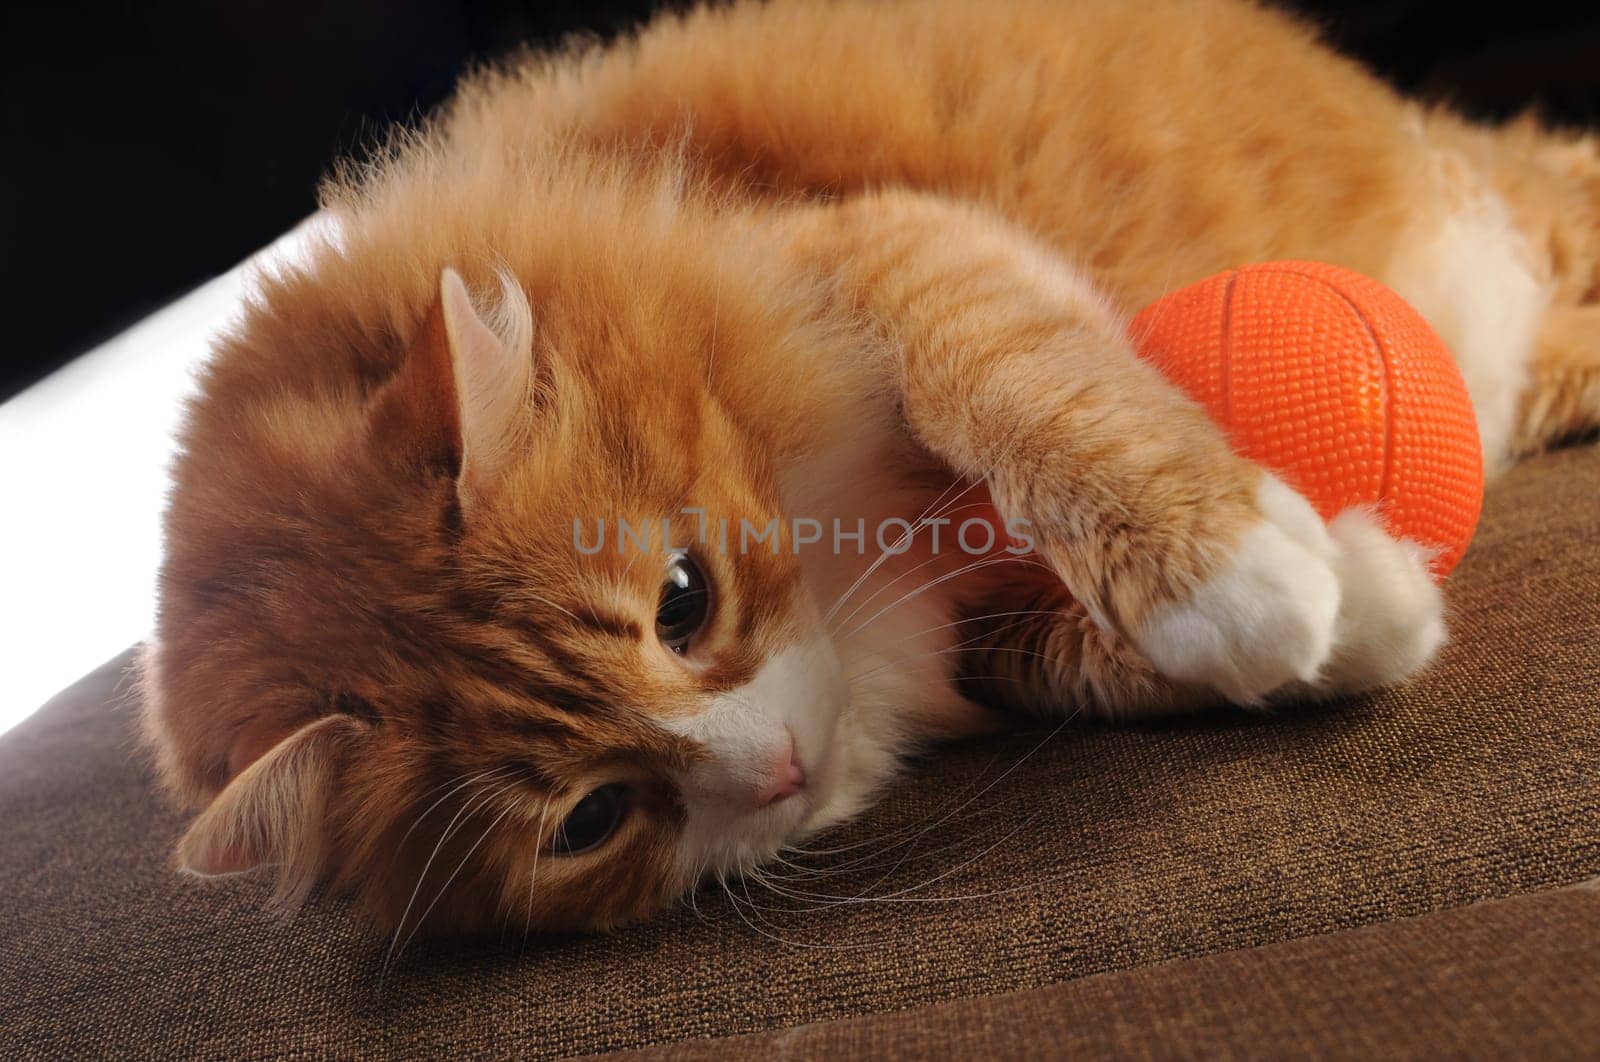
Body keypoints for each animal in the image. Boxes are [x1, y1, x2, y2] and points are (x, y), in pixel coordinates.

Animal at [144, 0, 1600, 940]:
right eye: (590, 822)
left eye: (684, 599)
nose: (779, 773)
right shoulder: (980, 639)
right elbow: (1069, 653)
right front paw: (1358, 605)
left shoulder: (871, 248)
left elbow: (1023, 382)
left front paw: (1232, 579)